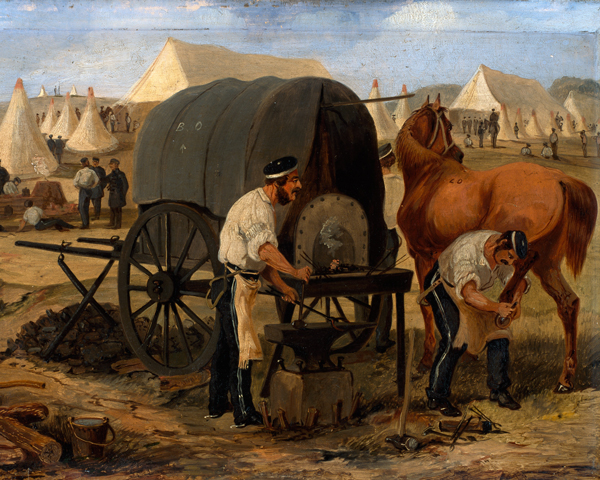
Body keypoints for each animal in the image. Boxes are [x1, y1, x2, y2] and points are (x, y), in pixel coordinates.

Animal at [396, 94, 596, 394]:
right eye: (448, 125)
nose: (459, 155)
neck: (428, 177)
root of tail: (558, 177)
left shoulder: (423, 256)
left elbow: (428, 306)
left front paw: (425, 361)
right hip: (548, 264)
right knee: (567, 303)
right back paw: (565, 378)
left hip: (525, 254)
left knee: (522, 284)